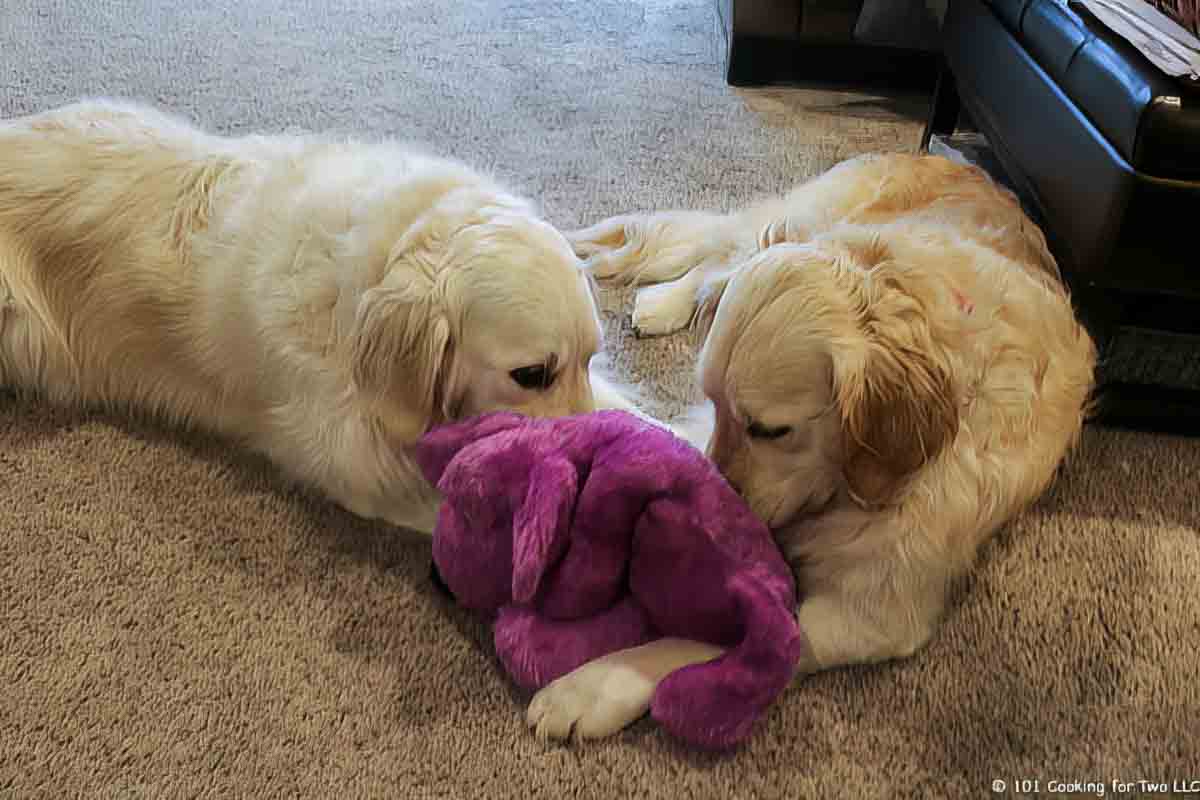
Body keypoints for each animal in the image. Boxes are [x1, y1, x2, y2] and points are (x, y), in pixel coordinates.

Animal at [525, 153, 1099, 743]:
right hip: (794, 224)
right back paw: (666, 302)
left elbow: (728, 638)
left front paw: (591, 688)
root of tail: (951, 158)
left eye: (771, 430)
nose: (717, 520)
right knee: (716, 265)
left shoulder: (870, 614)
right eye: (718, 405)